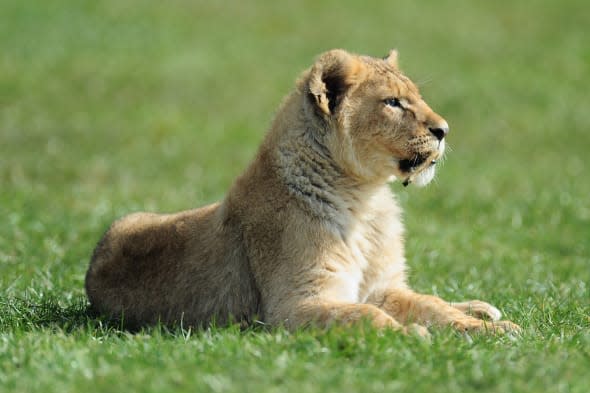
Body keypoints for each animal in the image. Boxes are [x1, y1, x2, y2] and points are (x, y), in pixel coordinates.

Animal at [85, 49, 520, 336]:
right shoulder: (294, 306)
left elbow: (431, 306)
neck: (365, 200)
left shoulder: (383, 287)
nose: (444, 130)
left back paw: (484, 309)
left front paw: (493, 331)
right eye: (393, 103)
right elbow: (367, 316)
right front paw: (409, 334)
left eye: (416, 96)